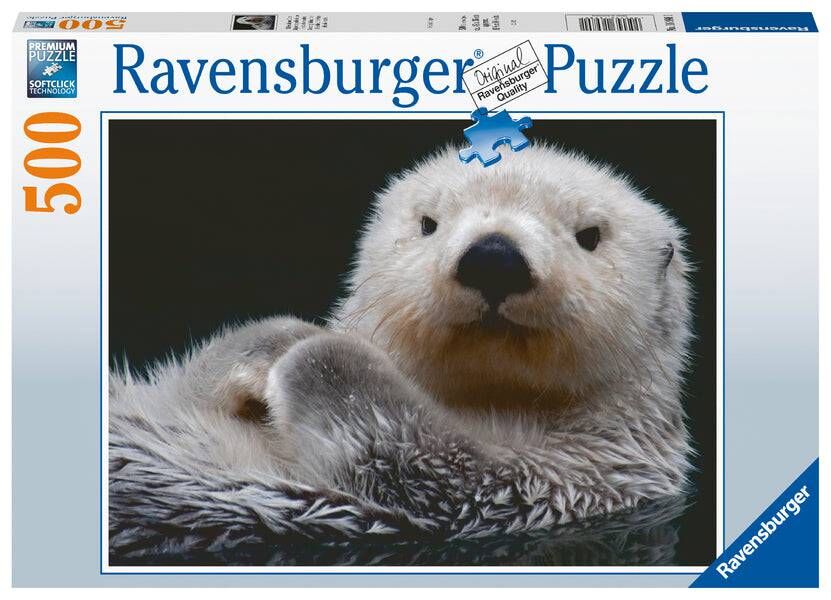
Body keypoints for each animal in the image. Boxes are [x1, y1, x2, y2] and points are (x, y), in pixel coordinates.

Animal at [110, 143, 693, 542]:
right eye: (429, 223)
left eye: (590, 235)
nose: (494, 257)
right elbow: (193, 380)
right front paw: (273, 344)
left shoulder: (564, 479)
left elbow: (416, 454)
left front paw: (314, 352)